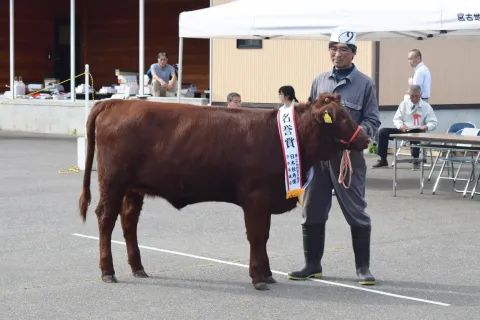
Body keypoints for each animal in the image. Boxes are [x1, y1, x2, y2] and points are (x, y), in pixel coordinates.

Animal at [79, 92, 372, 290]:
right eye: (340, 118)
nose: (366, 138)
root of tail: (117, 102)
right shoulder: (256, 197)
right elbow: (257, 236)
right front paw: (258, 278)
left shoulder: (265, 199)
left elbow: (264, 236)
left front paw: (267, 274)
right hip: (113, 182)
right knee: (106, 219)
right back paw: (108, 271)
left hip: (133, 188)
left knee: (129, 222)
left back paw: (138, 268)